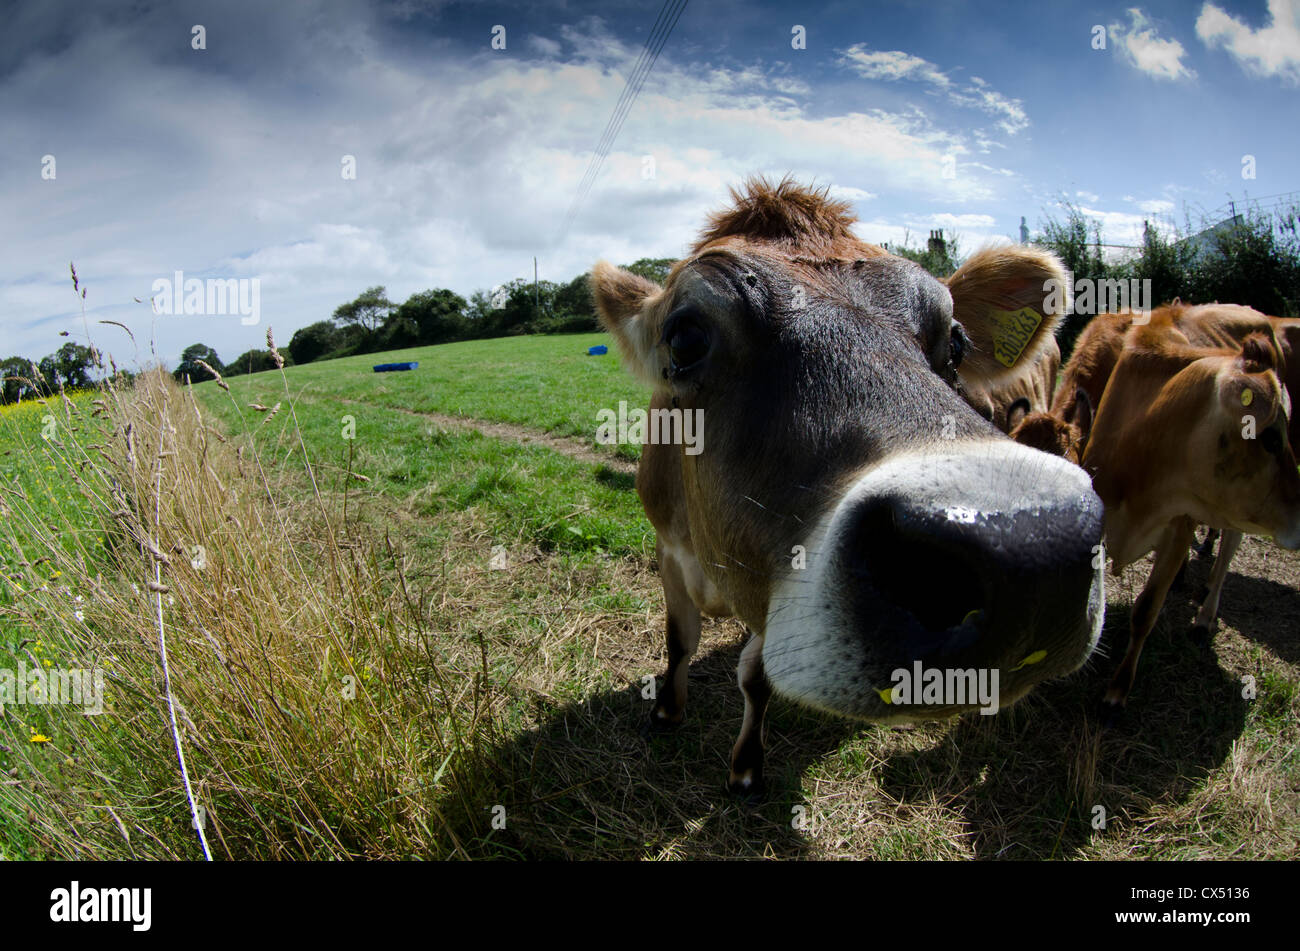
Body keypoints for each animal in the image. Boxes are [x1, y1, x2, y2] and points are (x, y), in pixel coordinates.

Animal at [591, 177, 1106, 794]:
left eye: (956, 343)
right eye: (684, 338)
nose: (1031, 543)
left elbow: (754, 678)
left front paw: (746, 767)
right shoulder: (668, 546)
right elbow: (678, 637)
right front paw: (667, 710)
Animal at [1075, 310, 1300, 718]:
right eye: (1271, 437)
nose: (1299, 518)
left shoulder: (1180, 527)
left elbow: (1146, 610)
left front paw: (1117, 691)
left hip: (1233, 515)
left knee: (1227, 552)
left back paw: (1205, 615)